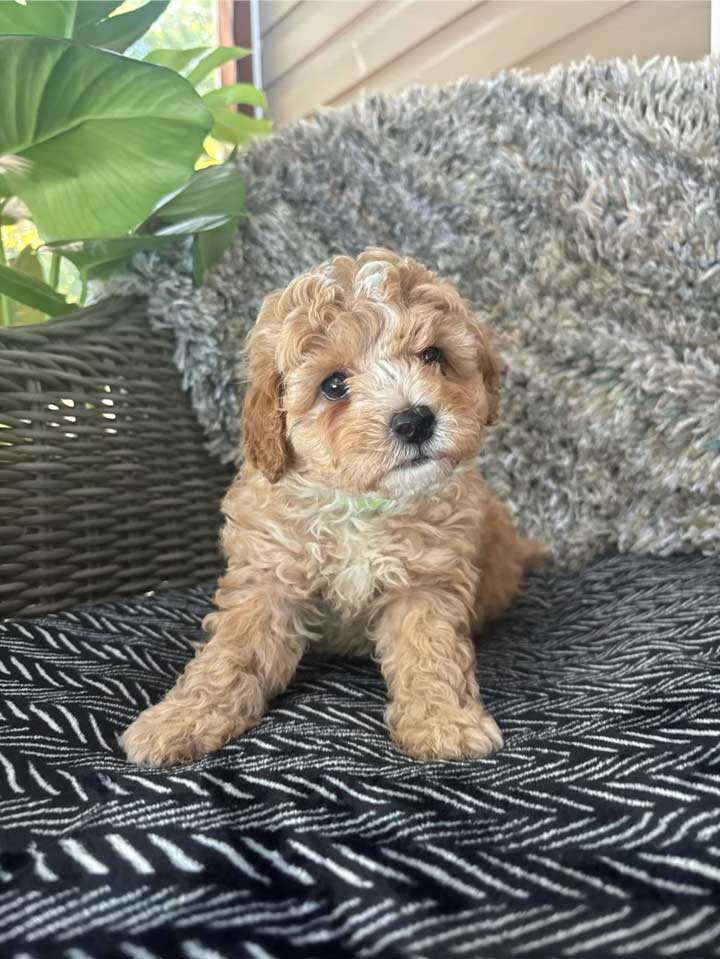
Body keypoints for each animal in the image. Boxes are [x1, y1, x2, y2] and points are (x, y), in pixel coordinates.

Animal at [122, 251, 540, 768]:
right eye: (334, 385)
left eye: (432, 355)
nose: (415, 420)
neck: (359, 502)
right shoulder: (269, 578)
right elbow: (233, 655)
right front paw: (181, 719)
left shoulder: (426, 582)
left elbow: (430, 652)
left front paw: (444, 722)